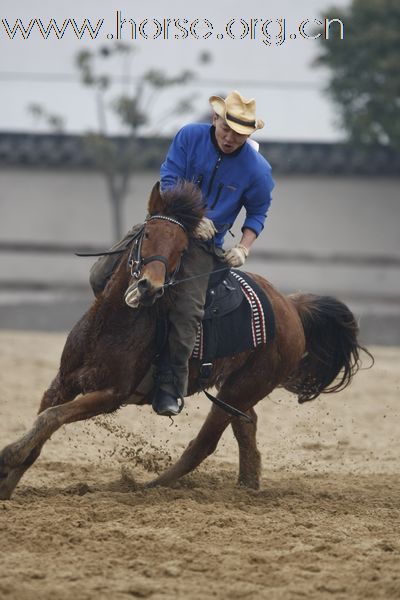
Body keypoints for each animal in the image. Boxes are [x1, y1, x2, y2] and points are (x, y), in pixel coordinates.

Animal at [0, 184, 368, 502]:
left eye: (181, 248)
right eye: (147, 234)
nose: (149, 287)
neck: (111, 326)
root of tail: (290, 306)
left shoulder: (109, 396)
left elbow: (51, 419)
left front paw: (7, 455)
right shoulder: (62, 383)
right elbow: (41, 429)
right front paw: (7, 486)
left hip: (242, 389)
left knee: (204, 444)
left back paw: (148, 487)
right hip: (239, 388)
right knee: (246, 427)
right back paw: (246, 487)